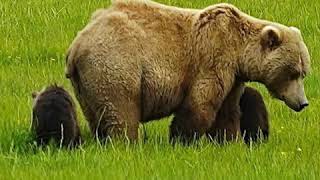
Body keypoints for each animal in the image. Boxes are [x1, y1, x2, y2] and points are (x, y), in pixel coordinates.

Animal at [65, 0, 310, 143]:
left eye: (304, 72)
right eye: (293, 72)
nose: (303, 103)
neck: (239, 52)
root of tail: (77, 45)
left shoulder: (234, 76)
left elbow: (228, 110)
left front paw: (229, 140)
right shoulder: (213, 58)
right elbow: (200, 103)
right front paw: (182, 139)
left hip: (86, 83)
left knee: (97, 114)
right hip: (117, 65)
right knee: (122, 111)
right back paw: (127, 142)